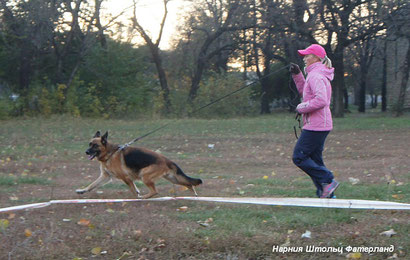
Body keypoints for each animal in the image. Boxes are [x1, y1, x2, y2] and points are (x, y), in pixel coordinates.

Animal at [75, 131, 203, 198]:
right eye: (89, 144)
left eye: (95, 145)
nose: (86, 152)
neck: (110, 153)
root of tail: (167, 160)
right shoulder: (105, 176)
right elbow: (92, 185)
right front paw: (82, 190)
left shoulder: (126, 178)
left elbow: (132, 189)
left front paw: (135, 196)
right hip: (173, 179)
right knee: (189, 184)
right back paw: (194, 195)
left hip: (144, 175)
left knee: (155, 191)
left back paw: (144, 197)